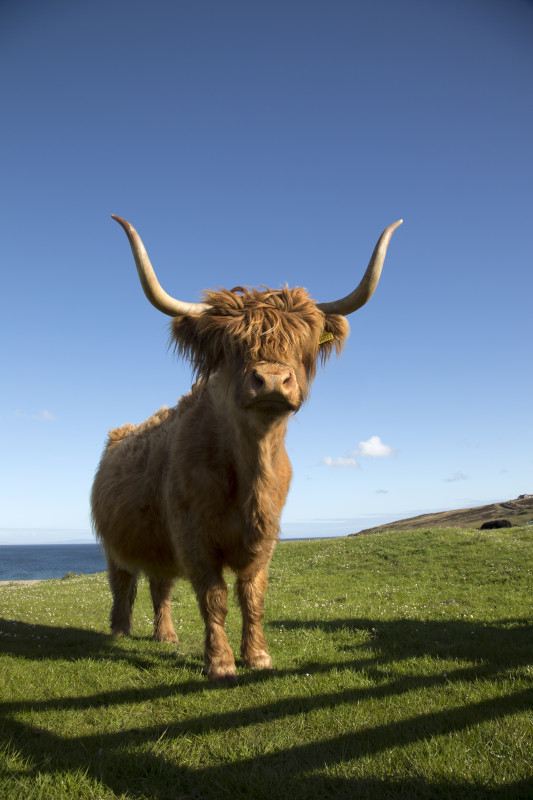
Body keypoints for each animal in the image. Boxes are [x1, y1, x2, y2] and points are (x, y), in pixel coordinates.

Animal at [91, 216, 402, 684]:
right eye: (231, 347)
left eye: (299, 342)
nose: (272, 380)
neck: (250, 471)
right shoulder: (193, 536)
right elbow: (214, 596)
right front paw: (220, 663)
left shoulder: (264, 535)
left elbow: (252, 594)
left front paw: (257, 656)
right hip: (115, 545)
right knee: (123, 582)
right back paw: (120, 632)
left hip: (161, 546)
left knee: (160, 585)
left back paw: (166, 637)